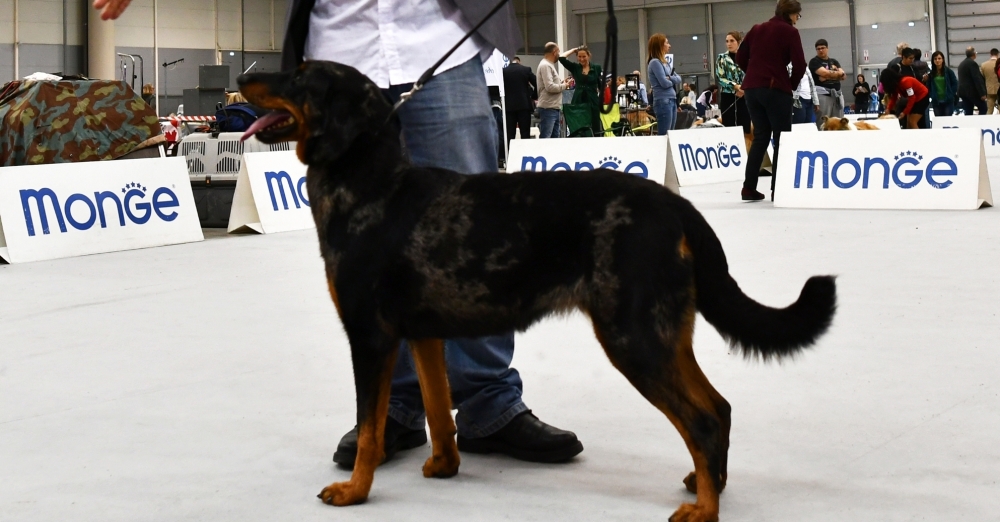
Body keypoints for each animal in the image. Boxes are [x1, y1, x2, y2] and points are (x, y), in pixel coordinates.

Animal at [236, 62, 836, 520]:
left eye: (299, 76)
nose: (244, 77)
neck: (371, 183)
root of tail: (675, 204)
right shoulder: (424, 336)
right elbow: (438, 412)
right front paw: (444, 468)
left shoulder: (370, 336)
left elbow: (369, 429)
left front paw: (355, 491)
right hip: (662, 334)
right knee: (719, 407)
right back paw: (707, 483)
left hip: (633, 337)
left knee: (704, 419)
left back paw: (705, 510)